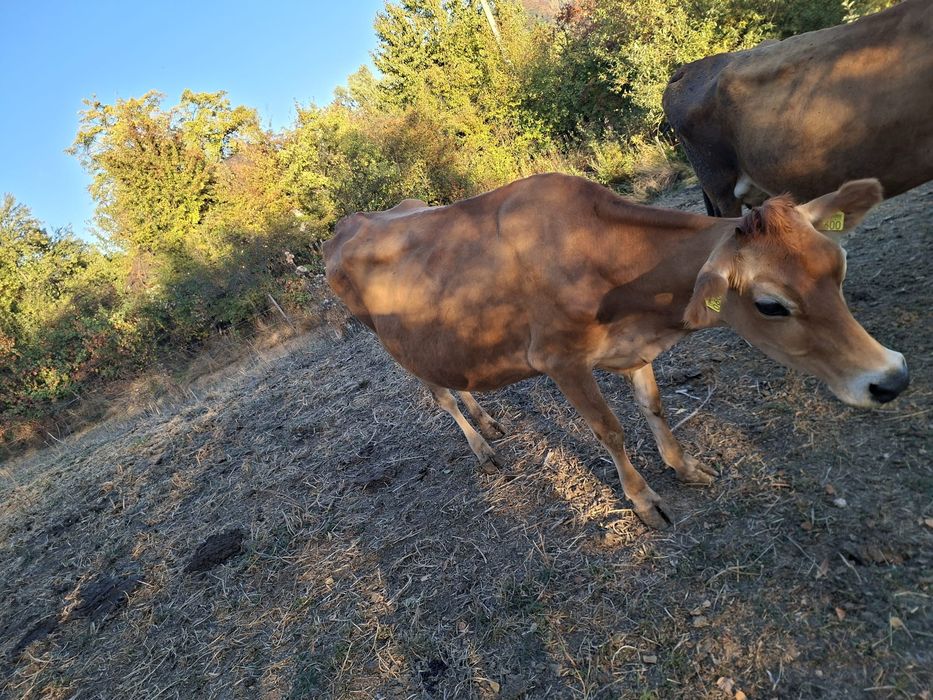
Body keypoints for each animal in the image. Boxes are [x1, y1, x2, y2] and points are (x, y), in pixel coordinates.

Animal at [324, 173, 908, 528]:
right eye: (770, 305)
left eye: (839, 265)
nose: (892, 378)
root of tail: (350, 221)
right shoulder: (560, 361)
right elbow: (611, 431)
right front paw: (644, 500)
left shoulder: (635, 349)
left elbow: (654, 407)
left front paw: (684, 465)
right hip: (394, 343)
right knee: (440, 396)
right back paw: (482, 447)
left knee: (457, 386)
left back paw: (489, 421)